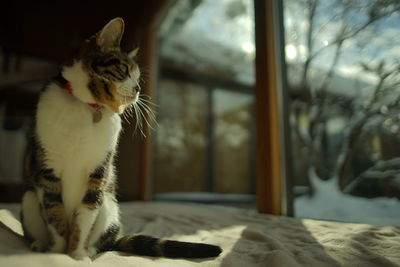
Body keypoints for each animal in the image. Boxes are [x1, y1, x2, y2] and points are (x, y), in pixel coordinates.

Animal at [20, 17, 222, 260]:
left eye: (138, 77)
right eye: (124, 69)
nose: (138, 88)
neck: (88, 108)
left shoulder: (99, 172)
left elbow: (84, 219)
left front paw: (77, 255)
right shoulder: (48, 171)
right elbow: (55, 217)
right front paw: (57, 253)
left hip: (109, 204)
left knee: (105, 241)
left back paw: (90, 250)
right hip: (29, 198)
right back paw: (39, 244)